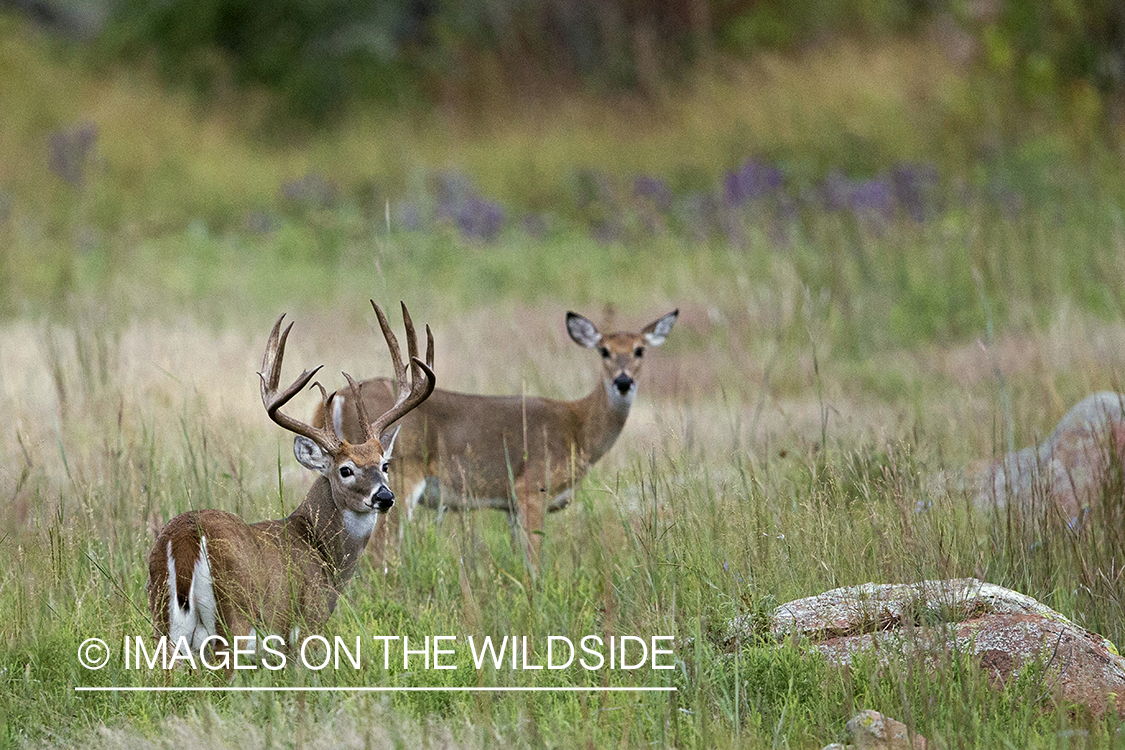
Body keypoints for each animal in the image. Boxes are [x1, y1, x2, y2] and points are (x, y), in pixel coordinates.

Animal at [146, 301, 434, 661]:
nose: (385, 497)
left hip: (163, 623)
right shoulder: (303, 626)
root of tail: (183, 539)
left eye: (384, 464)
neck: (321, 551)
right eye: (345, 470)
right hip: (233, 620)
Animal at [324, 308, 675, 566]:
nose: (623, 382)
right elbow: (534, 563)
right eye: (604, 351)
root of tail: (340, 396)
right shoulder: (532, 488)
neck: (577, 427)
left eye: (640, 350)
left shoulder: (509, 507)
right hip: (399, 480)